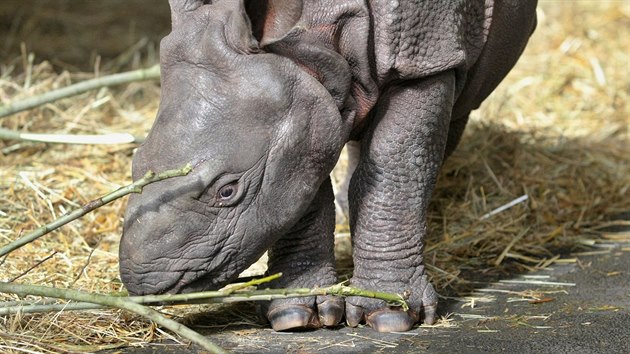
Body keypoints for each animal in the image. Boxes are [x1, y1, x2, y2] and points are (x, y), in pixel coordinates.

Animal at [121, 0, 540, 332]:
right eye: (135, 164)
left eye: (228, 190)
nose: (145, 284)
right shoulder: (305, 106)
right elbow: (303, 187)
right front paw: (294, 314)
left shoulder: (425, 58)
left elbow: (396, 166)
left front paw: (390, 315)